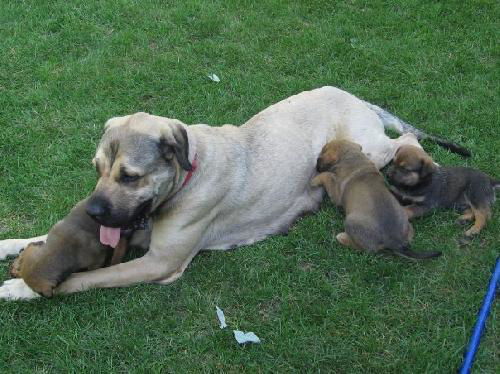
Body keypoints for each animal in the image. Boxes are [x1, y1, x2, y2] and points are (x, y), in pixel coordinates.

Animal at [312, 140, 442, 260]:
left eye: (322, 153)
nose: (316, 162)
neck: (353, 157)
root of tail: (395, 241)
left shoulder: (336, 193)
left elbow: (327, 175)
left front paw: (314, 180)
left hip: (350, 221)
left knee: (366, 248)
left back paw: (342, 237)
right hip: (406, 220)